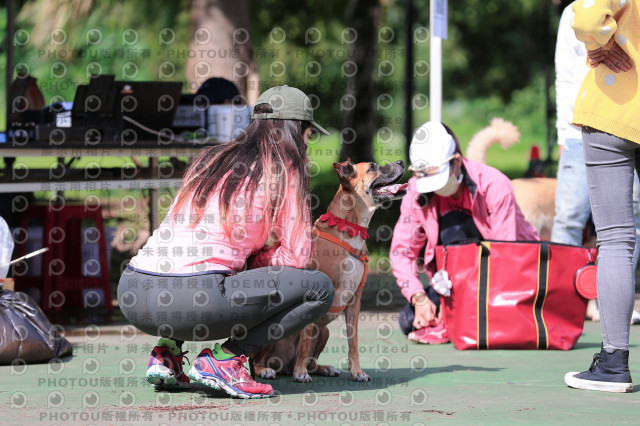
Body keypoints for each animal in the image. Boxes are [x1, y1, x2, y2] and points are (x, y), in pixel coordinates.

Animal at [250, 157, 404, 382]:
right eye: (372, 167)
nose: (401, 161)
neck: (349, 228)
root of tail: (284, 366)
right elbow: (305, 341)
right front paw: (301, 373)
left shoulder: (355, 301)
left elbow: (353, 342)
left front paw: (357, 372)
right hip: (273, 332)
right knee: (257, 360)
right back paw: (269, 370)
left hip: (324, 332)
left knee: (312, 360)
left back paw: (322, 368)